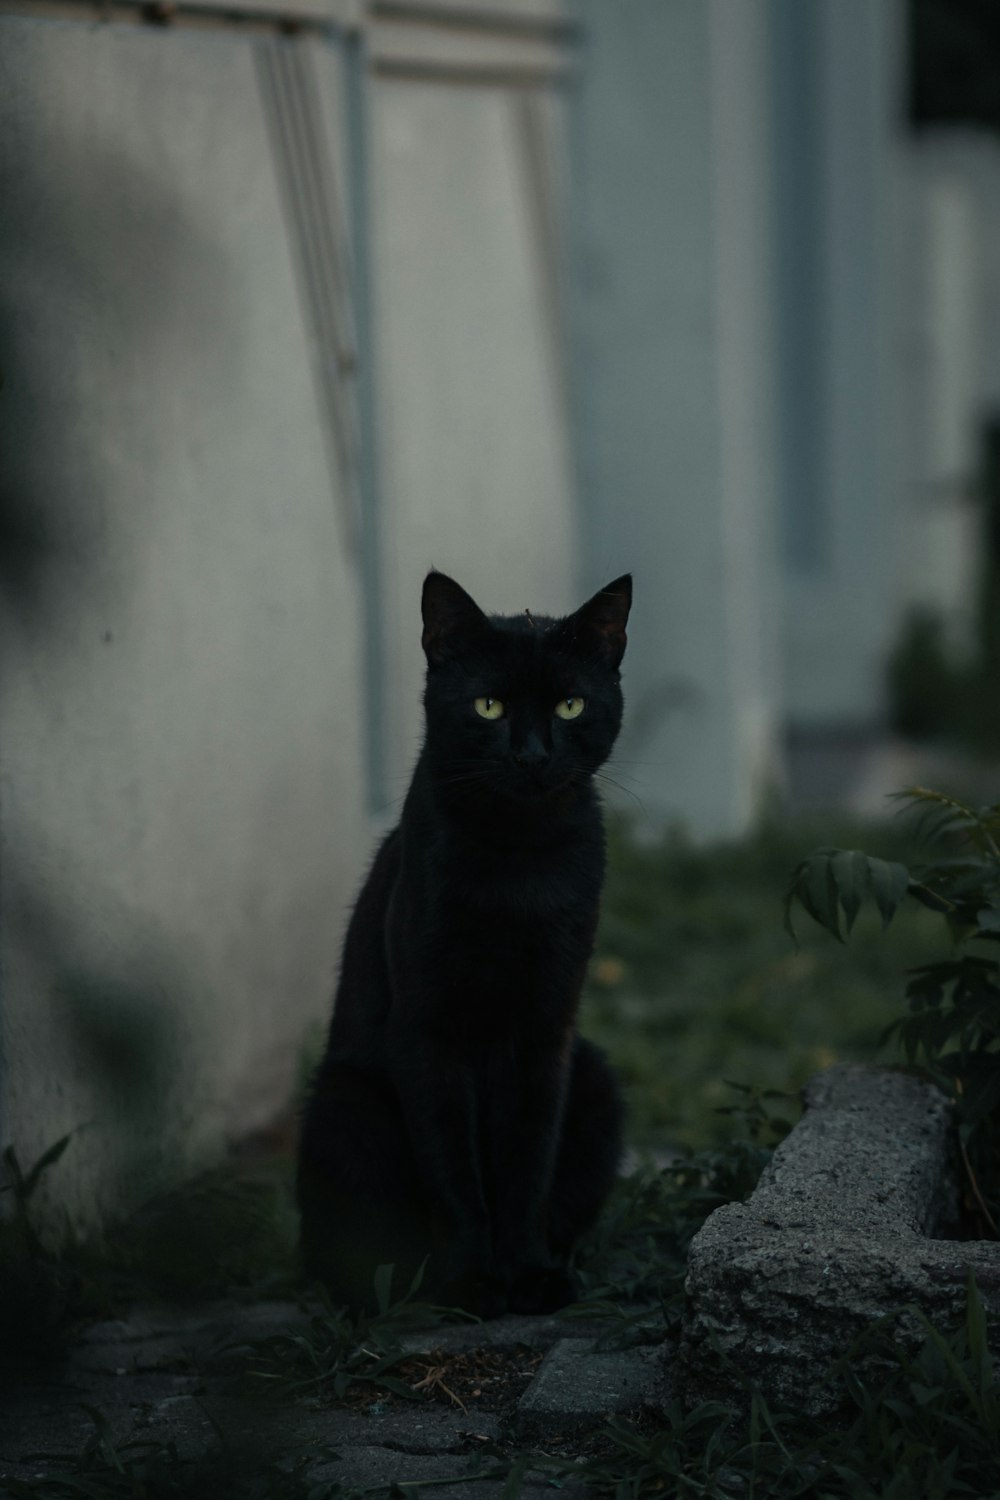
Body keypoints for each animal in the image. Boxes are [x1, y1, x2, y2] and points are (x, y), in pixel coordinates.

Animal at [293, 567, 629, 1320]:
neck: (518, 861)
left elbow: (526, 1164)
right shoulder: (427, 1033)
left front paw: (530, 1274)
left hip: (595, 1074)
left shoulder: (544, 1034)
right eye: (488, 706)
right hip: (344, 1107)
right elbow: (453, 1170)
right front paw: (474, 1282)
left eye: (569, 705)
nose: (532, 755)